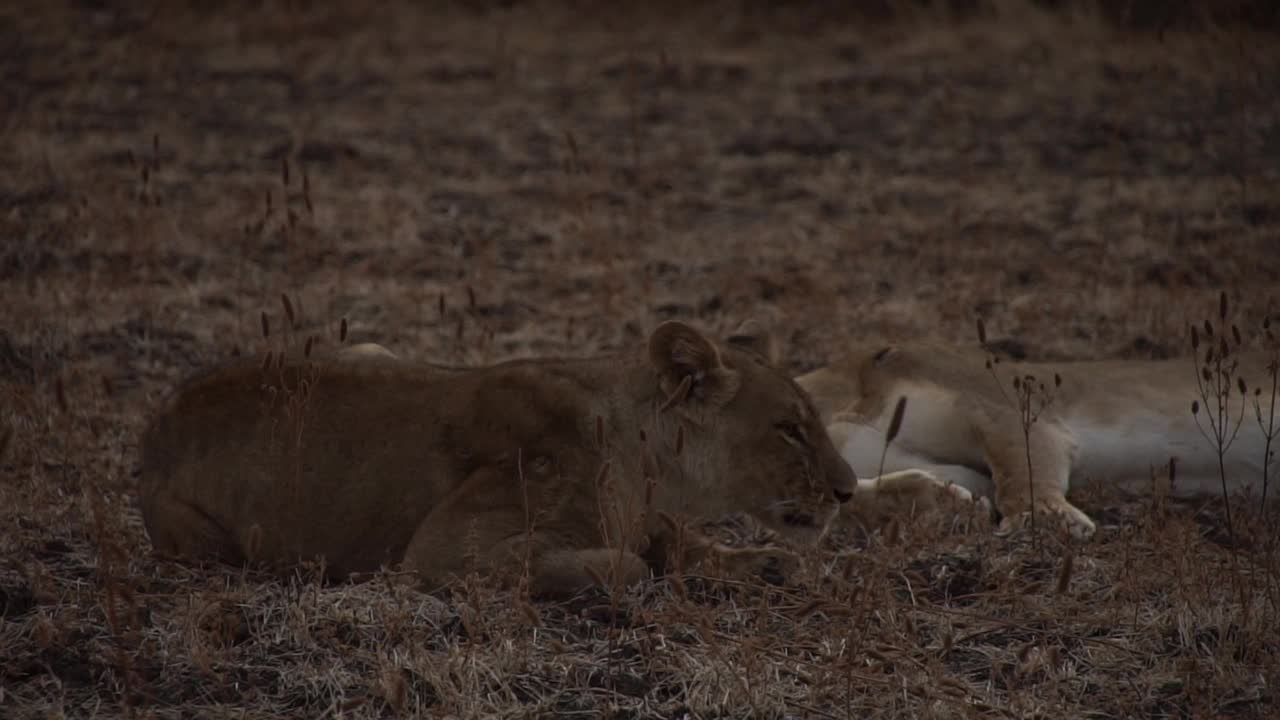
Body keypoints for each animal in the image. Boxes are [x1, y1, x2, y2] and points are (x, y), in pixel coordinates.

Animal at [137, 319, 860, 594]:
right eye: (789, 429)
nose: (849, 492)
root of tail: (154, 429)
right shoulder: (437, 555)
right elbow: (626, 563)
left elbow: (677, 540)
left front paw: (764, 563)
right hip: (207, 545)